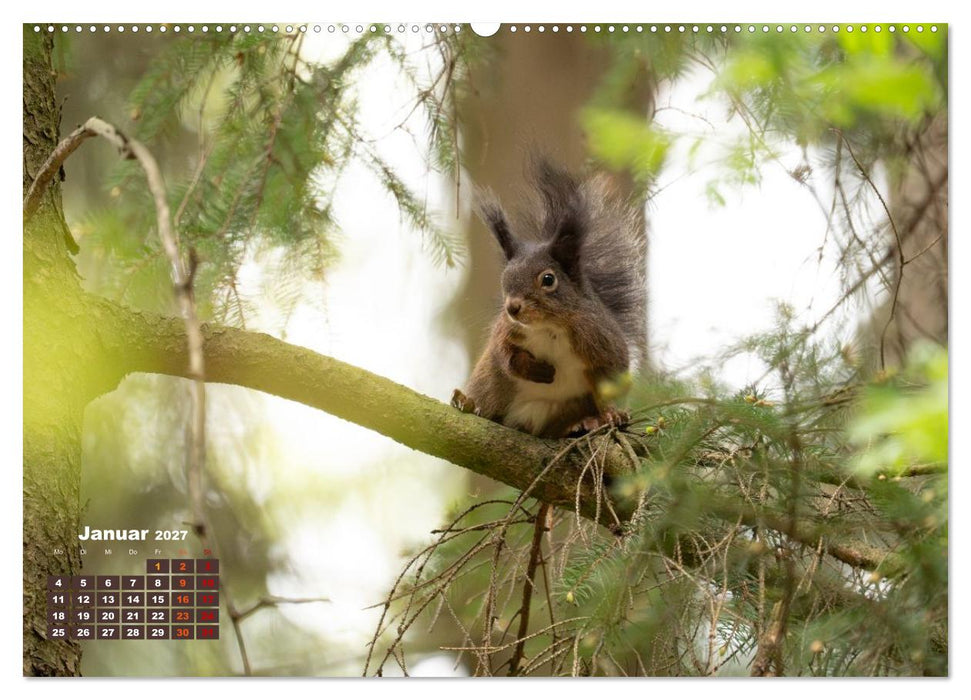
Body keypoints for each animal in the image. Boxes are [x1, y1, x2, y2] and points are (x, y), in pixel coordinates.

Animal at [452, 159, 647, 440]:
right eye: (505, 278)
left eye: (548, 279)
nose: (512, 308)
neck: (549, 326)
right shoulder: (507, 332)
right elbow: (507, 357)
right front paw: (539, 371)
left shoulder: (602, 340)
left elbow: (610, 378)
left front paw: (612, 414)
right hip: (489, 385)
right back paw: (466, 403)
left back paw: (586, 423)